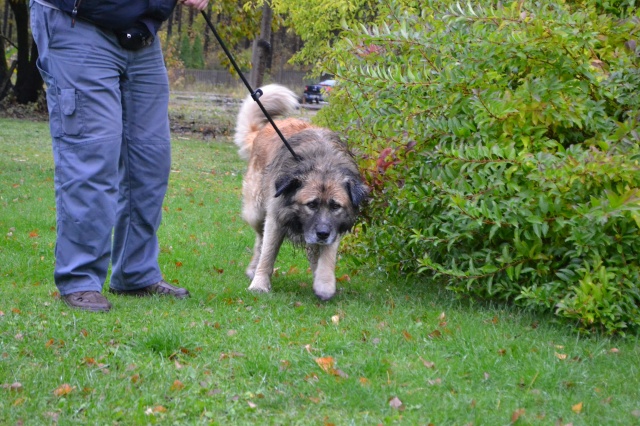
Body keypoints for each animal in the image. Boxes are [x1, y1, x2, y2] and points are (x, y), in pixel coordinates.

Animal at [234, 84, 368, 300]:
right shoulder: (276, 218)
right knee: (260, 239)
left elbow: (327, 256)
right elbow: (268, 254)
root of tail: (266, 128)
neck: (322, 164)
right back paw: (253, 269)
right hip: (256, 210)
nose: (322, 233)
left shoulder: (335, 226)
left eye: (335, 206)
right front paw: (260, 284)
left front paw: (324, 284)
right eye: (311, 204)